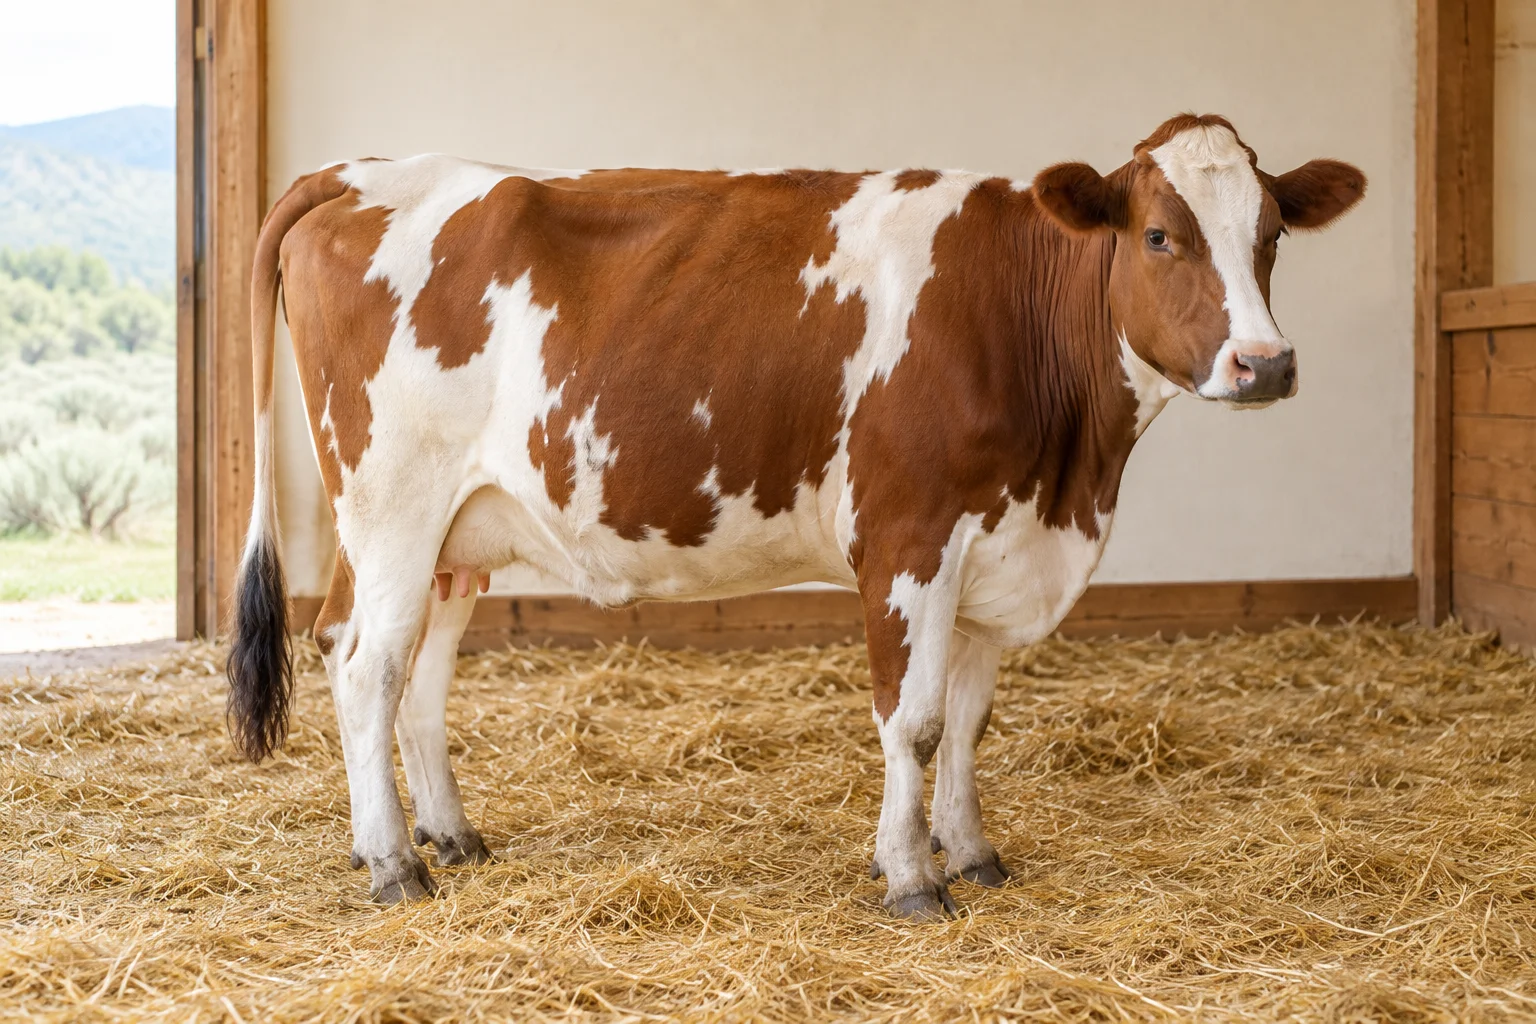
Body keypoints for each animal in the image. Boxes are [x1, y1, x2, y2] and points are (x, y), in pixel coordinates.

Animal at [227, 113, 1365, 919]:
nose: (1264, 363)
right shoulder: (910, 540)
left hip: (455, 531)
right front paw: (911, 876)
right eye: (1162, 235)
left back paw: (444, 834)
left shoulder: (995, 548)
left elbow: (968, 720)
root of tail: (364, 170)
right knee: (365, 667)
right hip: (392, 507)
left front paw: (974, 851)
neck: (1071, 473)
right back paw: (392, 864)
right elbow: (912, 719)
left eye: (1270, 235)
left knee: (412, 672)